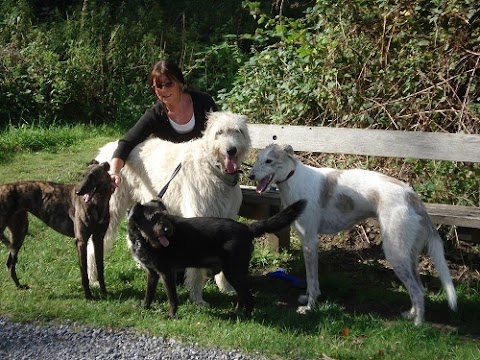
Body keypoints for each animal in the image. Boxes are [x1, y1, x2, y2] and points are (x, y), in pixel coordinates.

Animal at [0, 160, 111, 298]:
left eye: (92, 176)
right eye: (83, 176)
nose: (78, 192)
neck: (98, 202)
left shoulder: (98, 238)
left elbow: (100, 268)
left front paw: (104, 292)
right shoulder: (81, 240)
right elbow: (84, 271)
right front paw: (88, 296)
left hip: (19, 232)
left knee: (10, 263)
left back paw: (19, 286)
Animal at [88, 111, 251, 306]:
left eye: (238, 131)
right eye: (219, 132)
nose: (231, 150)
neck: (212, 167)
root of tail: (106, 150)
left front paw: (226, 287)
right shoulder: (199, 214)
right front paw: (197, 298)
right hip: (110, 210)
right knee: (94, 244)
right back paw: (93, 278)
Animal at [128, 197, 308, 318]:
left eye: (165, 215)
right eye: (153, 217)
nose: (168, 230)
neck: (143, 239)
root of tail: (247, 229)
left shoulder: (166, 273)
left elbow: (172, 298)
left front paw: (171, 315)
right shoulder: (152, 272)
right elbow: (149, 293)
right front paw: (144, 307)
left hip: (233, 271)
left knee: (249, 298)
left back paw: (244, 317)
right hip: (234, 272)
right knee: (242, 295)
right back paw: (236, 312)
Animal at [249, 143, 456, 326]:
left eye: (269, 161)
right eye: (258, 158)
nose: (250, 175)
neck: (294, 178)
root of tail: (413, 197)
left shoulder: (310, 242)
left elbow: (312, 279)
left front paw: (310, 307)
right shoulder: (305, 241)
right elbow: (309, 280)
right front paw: (306, 298)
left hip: (395, 253)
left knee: (418, 291)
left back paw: (418, 324)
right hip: (407, 253)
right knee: (417, 287)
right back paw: (411, 315)